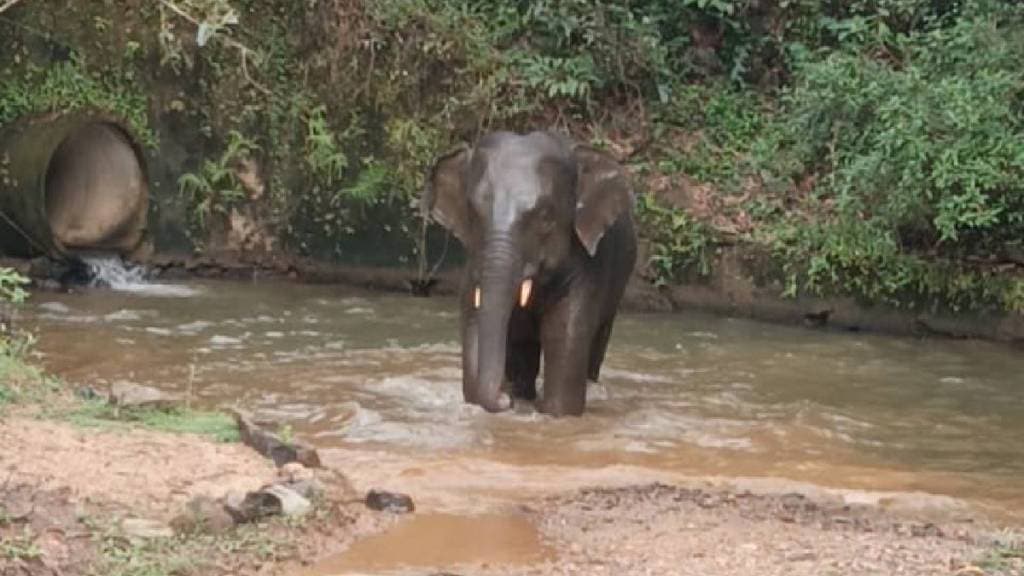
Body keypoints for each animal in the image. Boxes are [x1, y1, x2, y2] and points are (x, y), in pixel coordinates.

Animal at [421, 130, 637, 416]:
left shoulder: (589, 269)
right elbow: (473, 323)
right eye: (472, 212)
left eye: (545, 216)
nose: (504, 398)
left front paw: (549, 409)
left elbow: (563, 335)